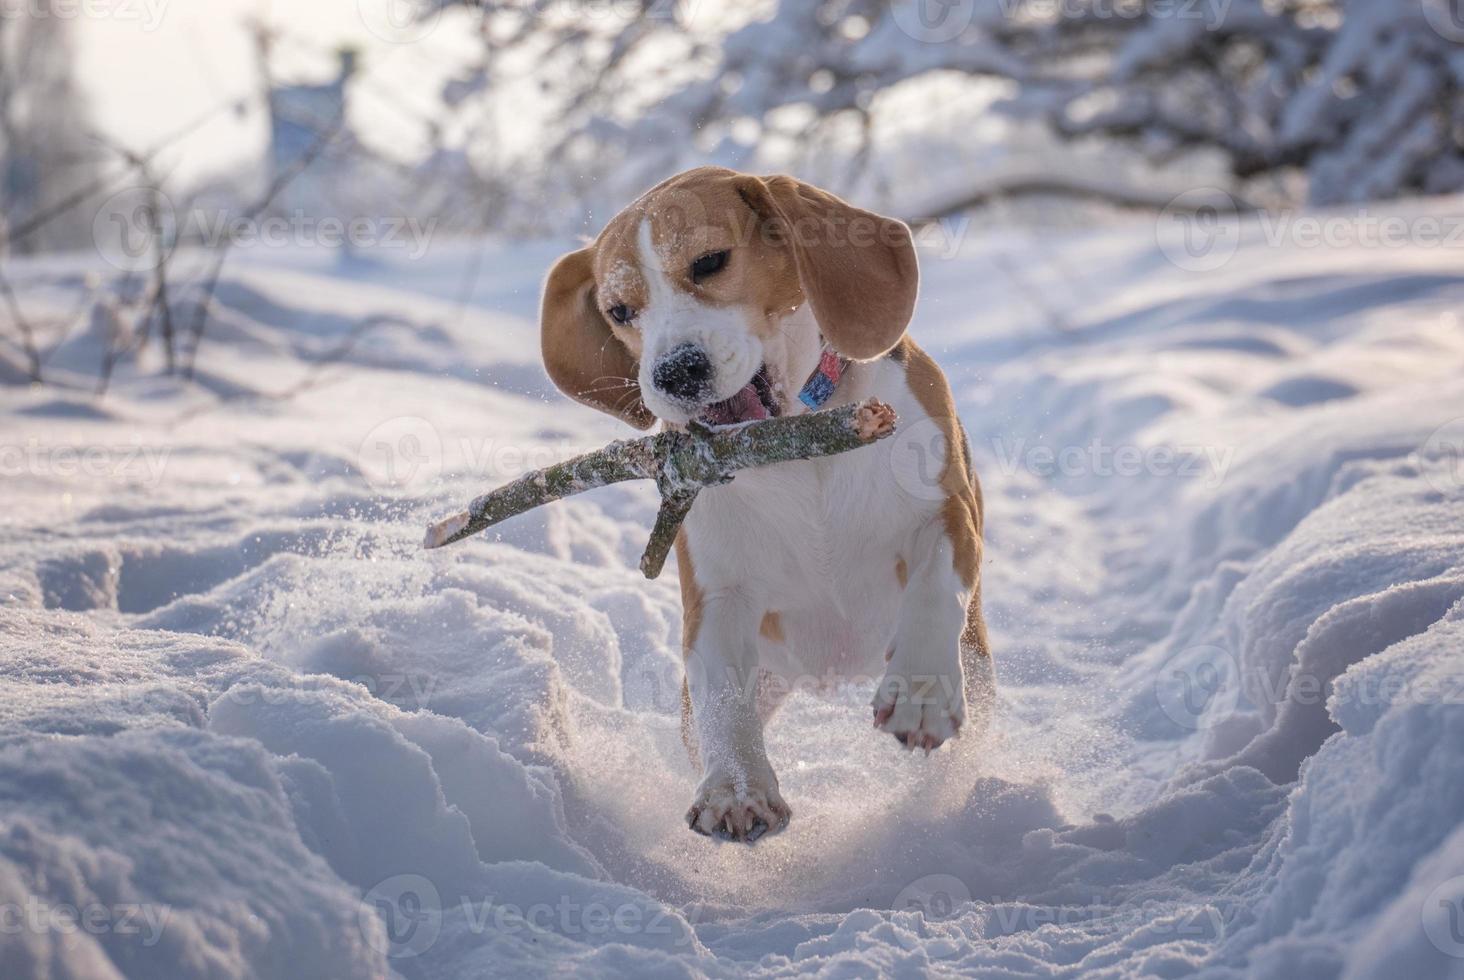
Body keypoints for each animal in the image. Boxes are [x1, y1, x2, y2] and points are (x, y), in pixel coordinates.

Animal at [538, 168, 995, 843]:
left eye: (709, 262)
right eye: (619, 311)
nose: (675, 371)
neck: (798, 451)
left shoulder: (945, 517)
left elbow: (935, 588)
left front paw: (921, 693)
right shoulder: (718, 594)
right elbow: (723, 699)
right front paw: (736, 790)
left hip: (978, 665)